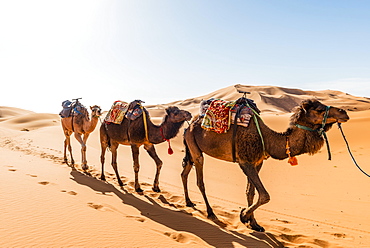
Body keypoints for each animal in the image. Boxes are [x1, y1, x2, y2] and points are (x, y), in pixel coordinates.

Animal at [182, 98, 350, 232]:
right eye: (319, 109)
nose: (344, 112)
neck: (268, 139)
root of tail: (189, 126)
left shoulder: (258, 162)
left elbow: (251, 192)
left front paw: (254, 224)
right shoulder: (245, 162)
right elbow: (264, 195)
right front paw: (244, 215)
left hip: (191, 148)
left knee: (184, 173)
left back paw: (189, 202)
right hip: (195, 147)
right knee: (200, 180)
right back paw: (210, 212)